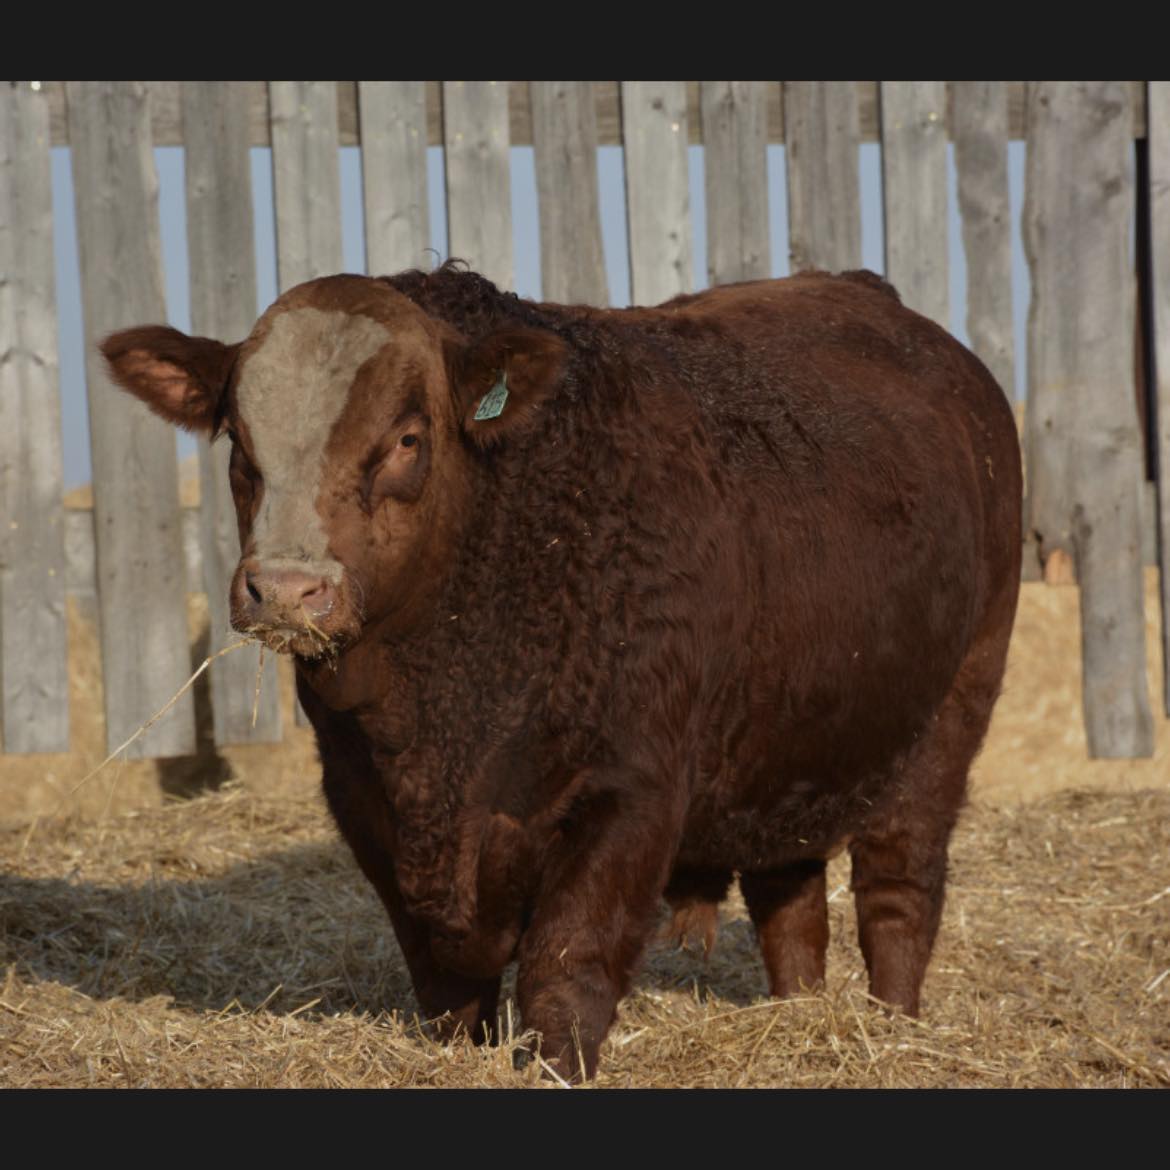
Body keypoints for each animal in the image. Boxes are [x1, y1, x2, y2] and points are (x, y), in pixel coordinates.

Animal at [101, 263, 1022, 1080]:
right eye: (239, 441)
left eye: (405, 439)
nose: (289, 589)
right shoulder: (368, 808)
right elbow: (445, 984)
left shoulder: (630, 794)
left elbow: (566, 967)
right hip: (790, 748)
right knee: (789, 905)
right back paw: (800, 1020)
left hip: (949, 717)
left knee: (898, 889)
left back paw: (892, 1033)